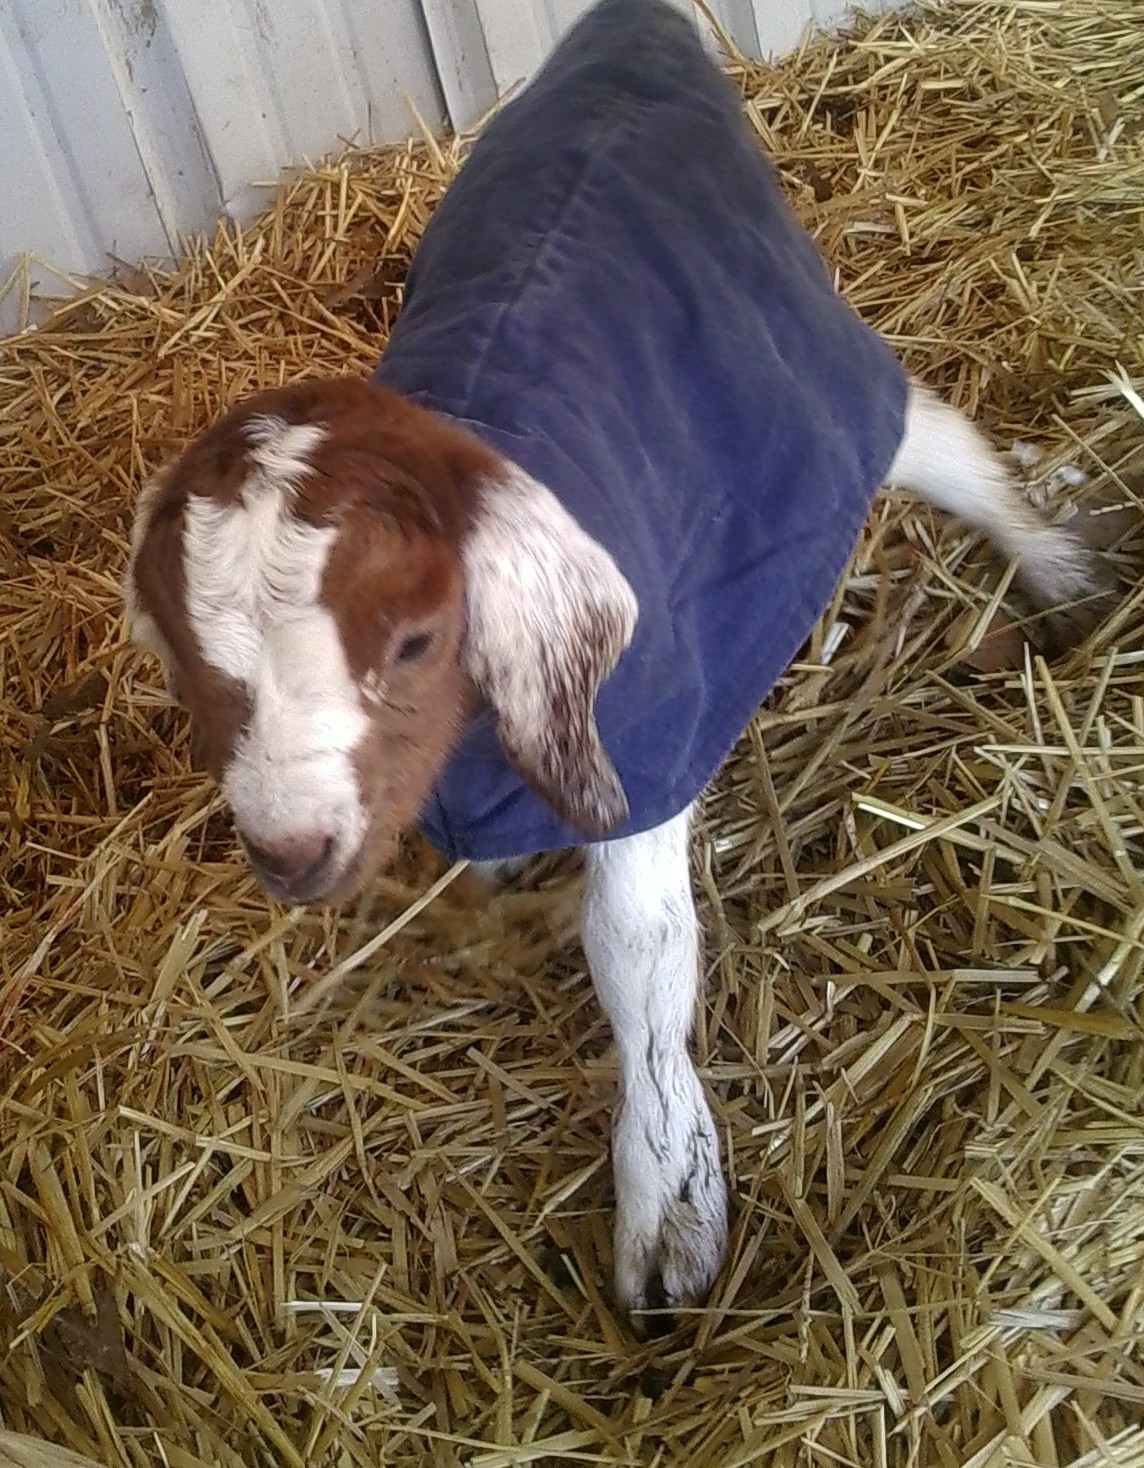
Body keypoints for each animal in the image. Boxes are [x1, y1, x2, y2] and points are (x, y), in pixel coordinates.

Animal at [123, 0, 1111, 1322]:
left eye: (414, 638)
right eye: (184, 659)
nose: (289, 853)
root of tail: (629, 25)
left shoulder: (634, 736)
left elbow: (637, 952)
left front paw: (666, 1212)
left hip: (804, 365)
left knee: (938, 439)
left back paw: (1063, 580)